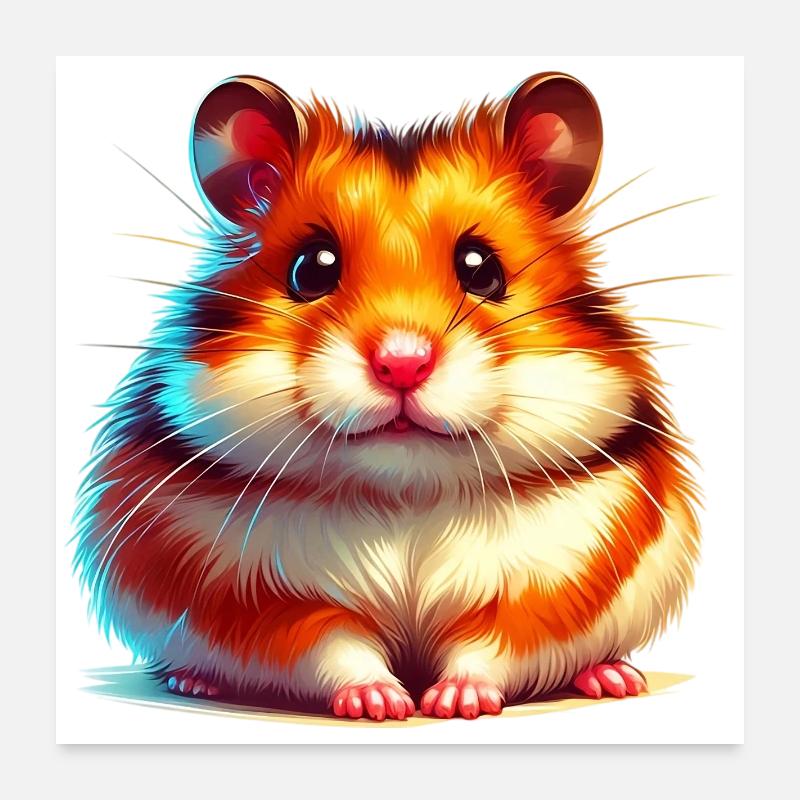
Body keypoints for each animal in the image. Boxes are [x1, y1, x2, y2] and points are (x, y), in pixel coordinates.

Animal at [73, 72, 700, 721]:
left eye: (482, 267)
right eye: (311, 268)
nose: (402, 365)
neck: (404, 492)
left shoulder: (552, 577)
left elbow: (493, 643)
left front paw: (456, 704)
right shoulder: (256, 592)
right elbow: (331, 643)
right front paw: (382, 706)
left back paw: (614, 677)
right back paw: (193, 681)